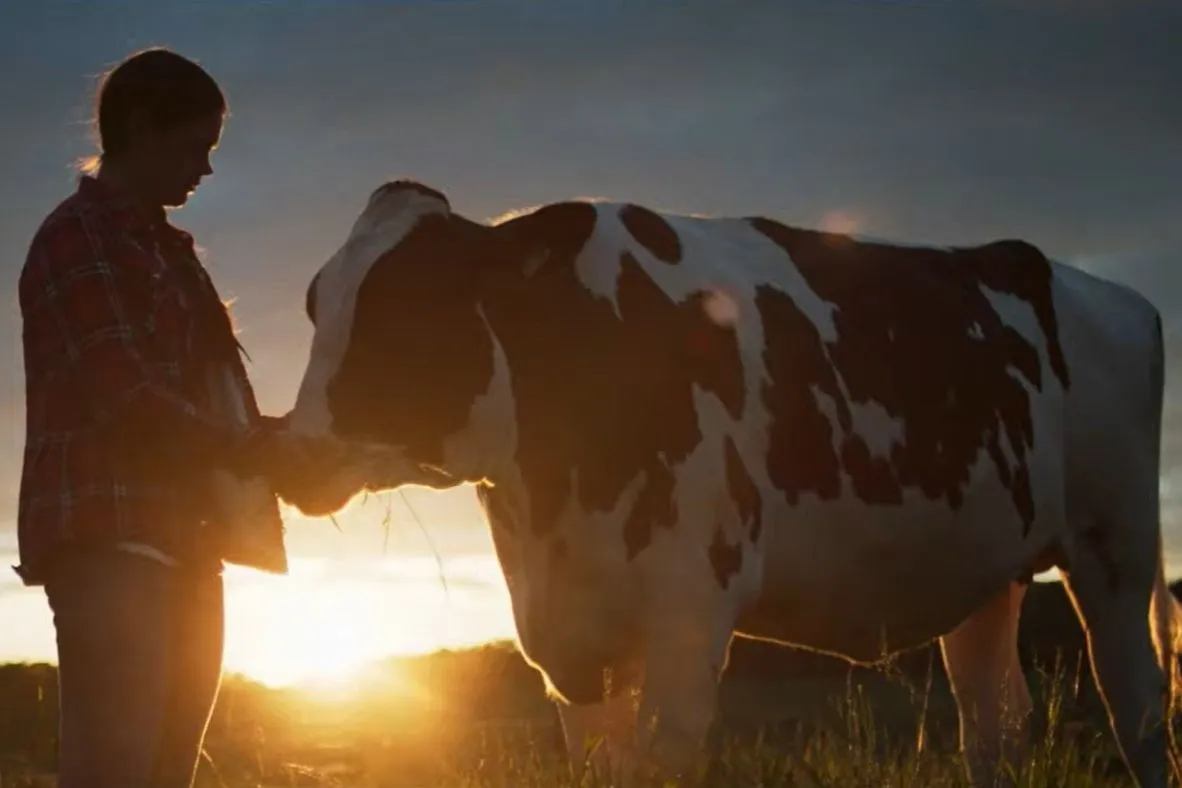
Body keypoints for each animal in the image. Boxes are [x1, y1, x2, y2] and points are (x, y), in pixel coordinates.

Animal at [273, 179, 1178, 787]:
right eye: (318, 304)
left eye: (412, 309)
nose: (288, 451)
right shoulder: (563, 636)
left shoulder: (689, 613)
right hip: (987, 575)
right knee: (995, 724)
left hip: (1116, 548)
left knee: (1138, 710)